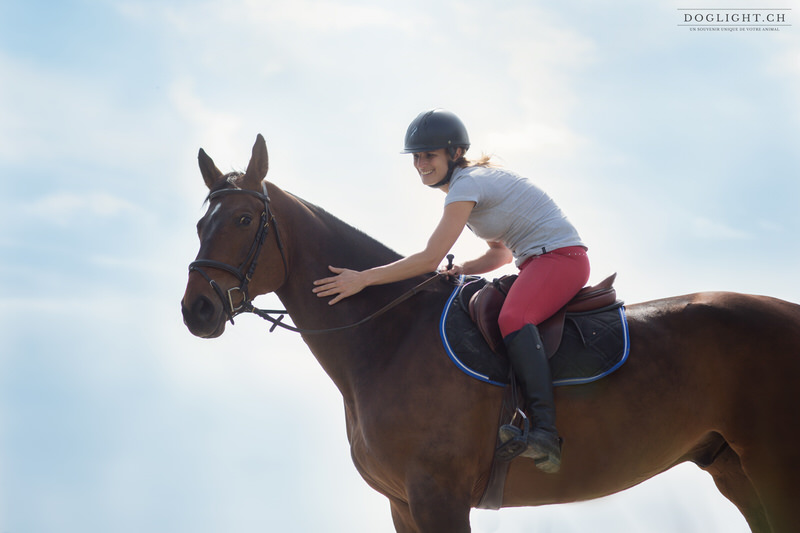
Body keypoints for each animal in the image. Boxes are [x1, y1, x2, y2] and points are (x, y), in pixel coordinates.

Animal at [181, 134, 800, 532]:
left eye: (243, 220)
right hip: (736, 471)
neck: (389, 338)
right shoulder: (403, 505)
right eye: (200, 222)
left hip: (775, 467)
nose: (197, 310)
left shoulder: (438, 497)